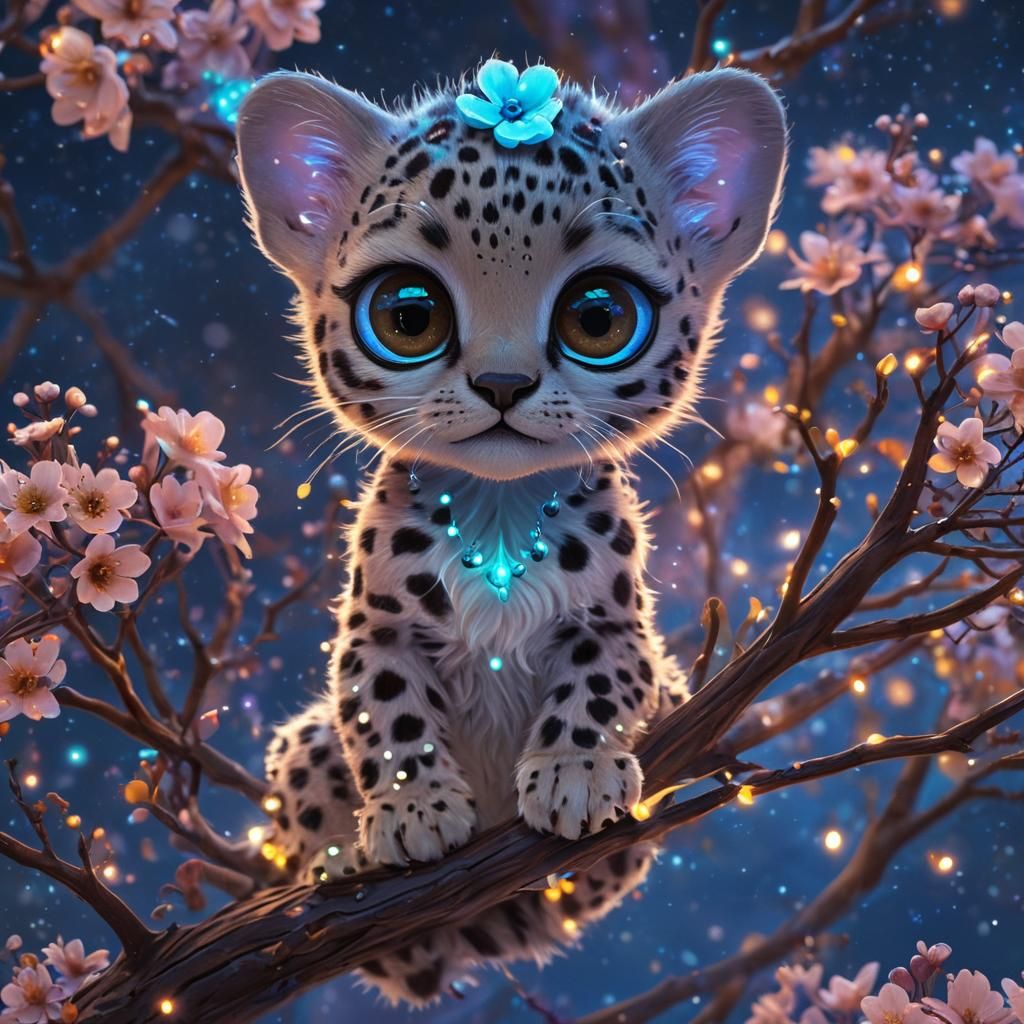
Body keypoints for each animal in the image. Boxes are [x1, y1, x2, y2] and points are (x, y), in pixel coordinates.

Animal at [236, 59, 786, 1006]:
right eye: (409, 314)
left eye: (598, 316)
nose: (501, 383)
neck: (498, 518)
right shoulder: (373, 629)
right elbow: (382, 705)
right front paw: (414, 809)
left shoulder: (619, 623)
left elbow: (603, 681)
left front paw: (575, 775)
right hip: (303, 747)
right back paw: (342, 866)